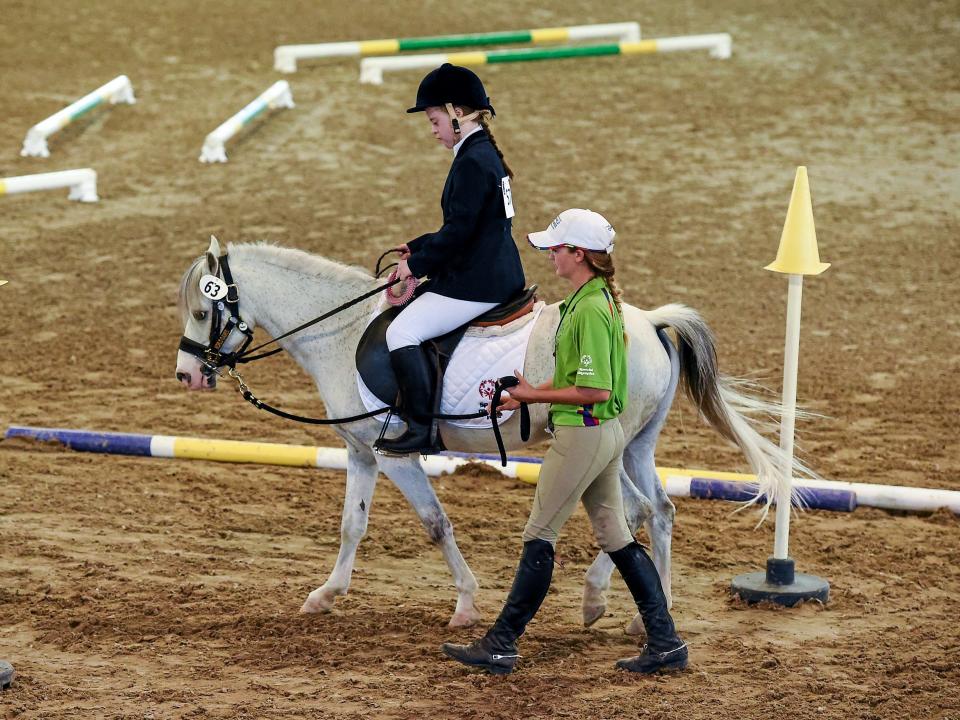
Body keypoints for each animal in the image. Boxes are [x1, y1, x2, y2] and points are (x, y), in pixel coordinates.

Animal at [176, 239, 792, 632]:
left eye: (204, 310)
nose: (187, 375)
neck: (341, 333)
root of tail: (648, 321)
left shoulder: (393, 456)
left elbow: (434, 523)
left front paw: (467, 605)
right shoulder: (361, 453)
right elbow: (353, 525)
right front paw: (325, 595)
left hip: (608, 450)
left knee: (636, 512)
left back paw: (600, 602)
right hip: (636, 446)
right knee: (660, 510)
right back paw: (649, 613)